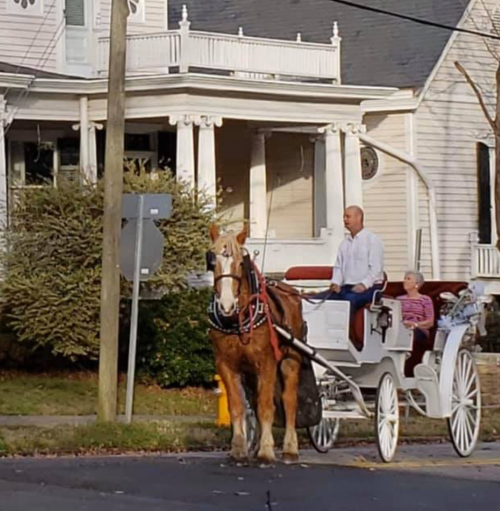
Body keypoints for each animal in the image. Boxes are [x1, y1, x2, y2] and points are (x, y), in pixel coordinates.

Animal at [208, 226, 302, 466]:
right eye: (211, 261)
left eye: (241, 262)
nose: (226, 304)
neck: (239, 318)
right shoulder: (226, 364)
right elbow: (237, 406)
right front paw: (239, 447)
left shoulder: (267, 362)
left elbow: (266, 406)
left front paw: (267, 450)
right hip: (251, 372)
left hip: (291, 360)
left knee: (289, 401)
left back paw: (289, 448)